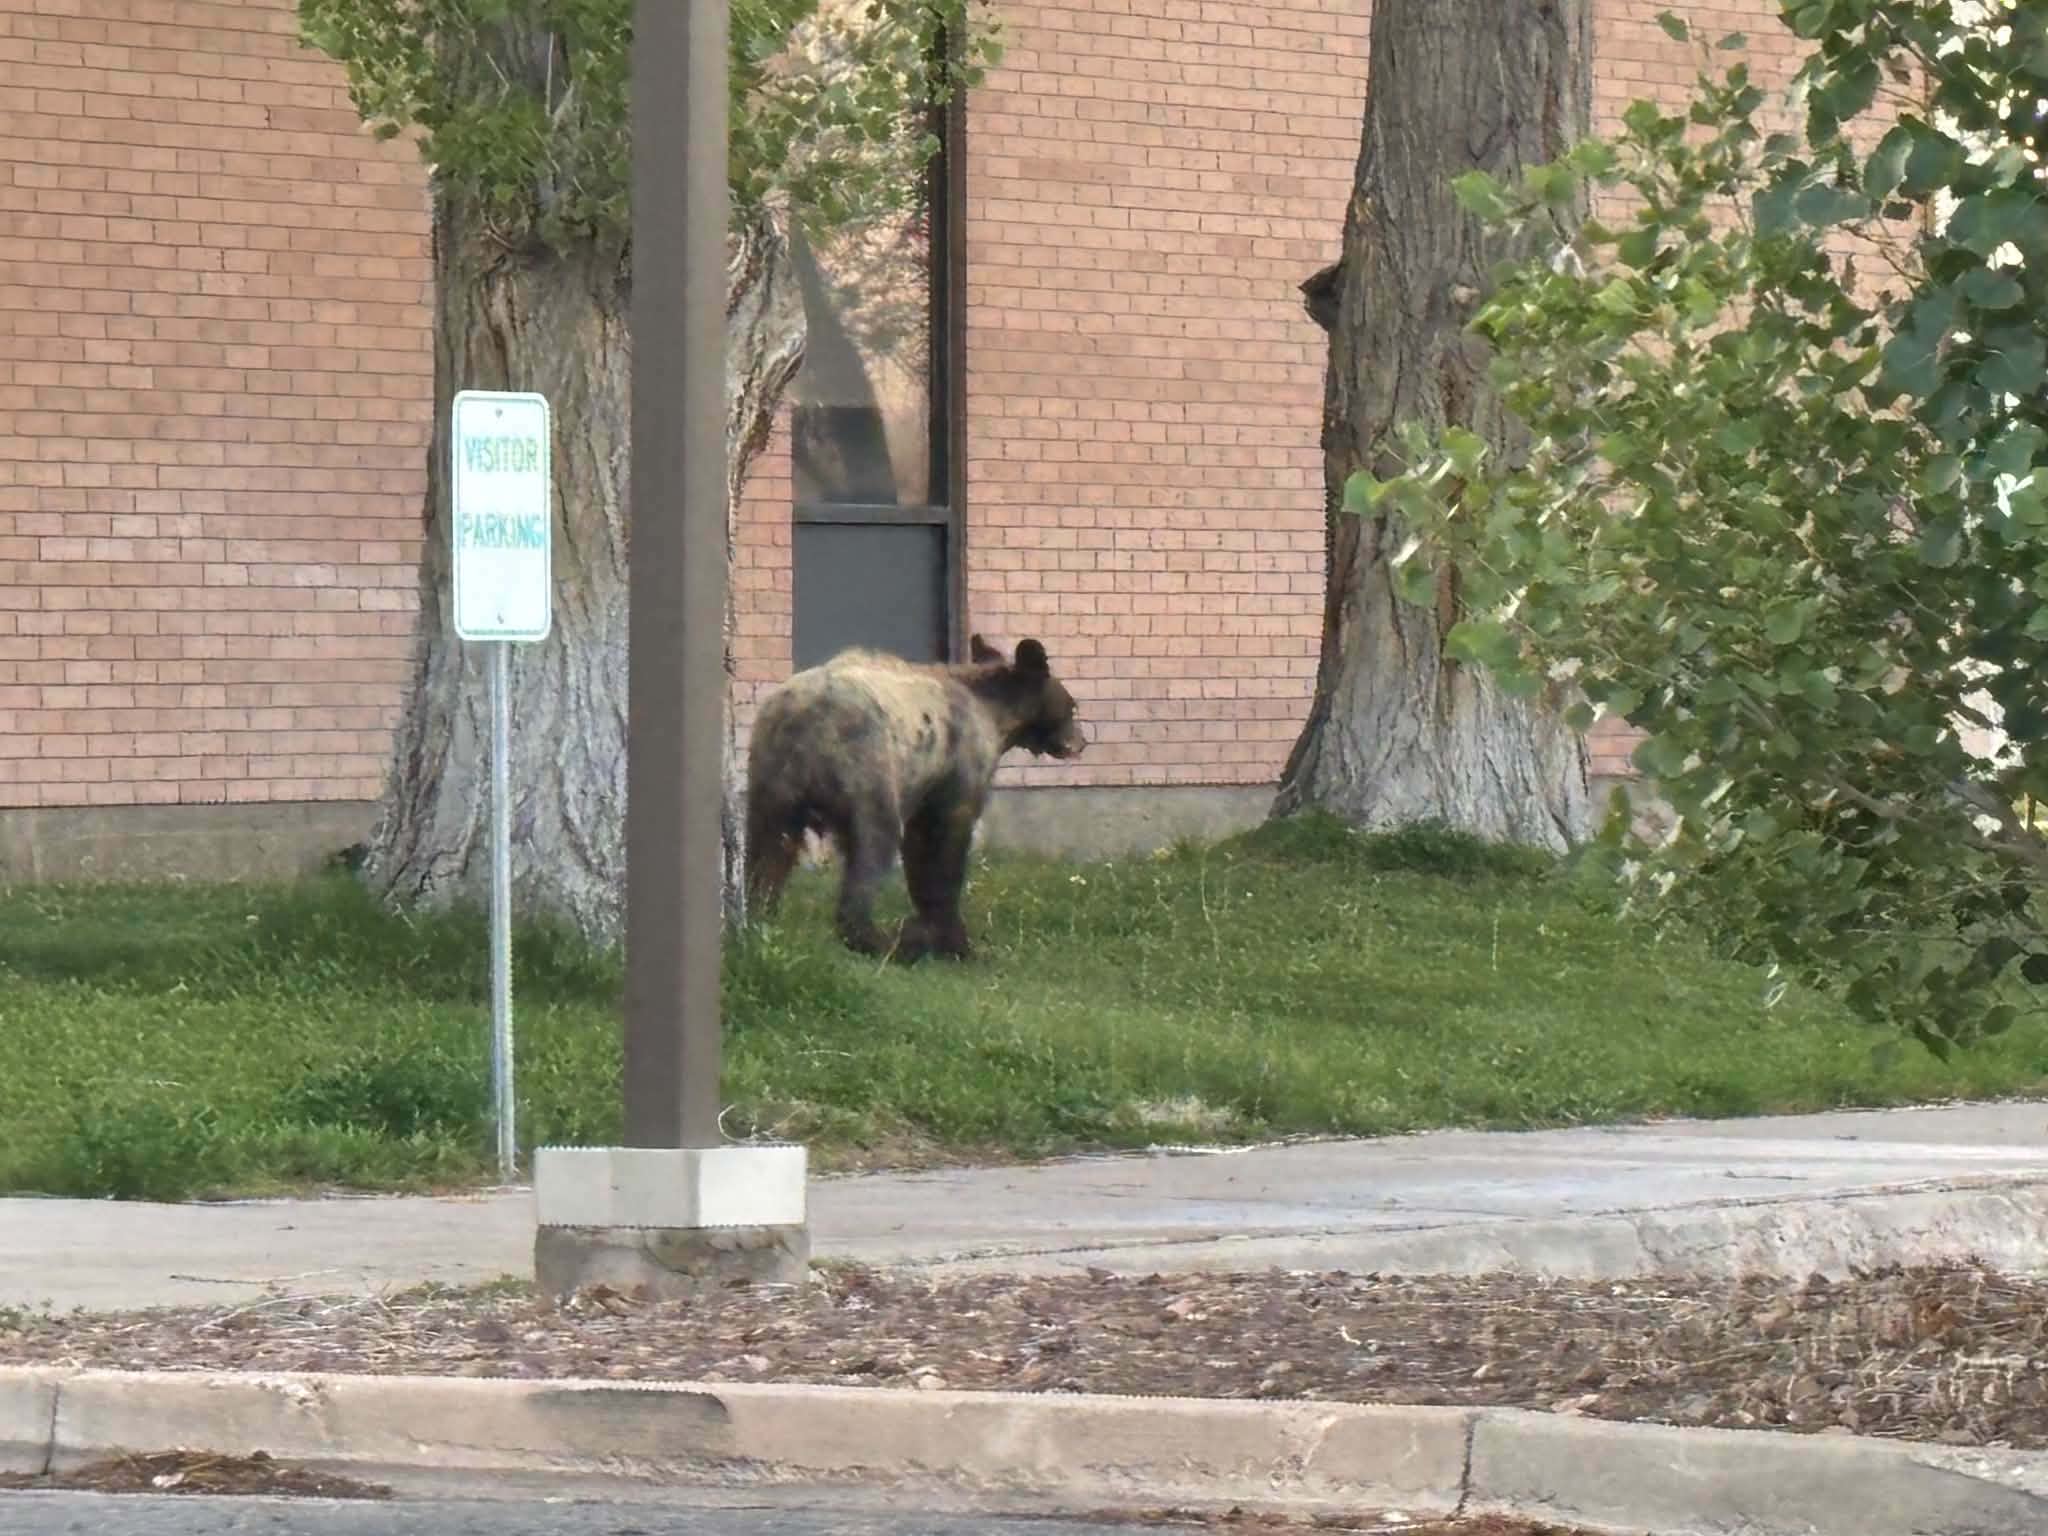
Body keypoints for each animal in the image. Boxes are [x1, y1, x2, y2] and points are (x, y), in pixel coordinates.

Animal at [744, 634, 1088, 962]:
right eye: (1072, 706)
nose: (1081, 742)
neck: (996, 716)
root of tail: (799, 720)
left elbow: (919, 848)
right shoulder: (957, 764)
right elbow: (944, 846)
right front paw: (954, 942)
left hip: (772, 783)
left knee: (767, 852)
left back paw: (761, 917)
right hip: (868, 768)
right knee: (872, 845)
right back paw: (879, 940)